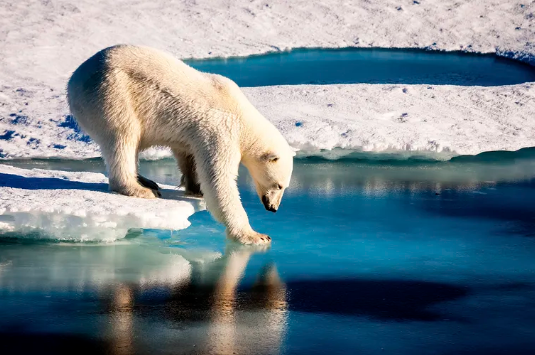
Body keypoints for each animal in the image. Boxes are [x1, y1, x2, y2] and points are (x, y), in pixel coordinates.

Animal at [68, 44, 296, 245]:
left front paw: (195, 187)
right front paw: (255, 235)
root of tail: (74, 79)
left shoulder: (194, 133)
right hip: (111, 94)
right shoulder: (221, 130)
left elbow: (188, 155)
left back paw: (146, 181)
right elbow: (219, 180)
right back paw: (139, 189)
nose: (273, 208)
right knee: (123, 137)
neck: (242, 116)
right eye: (279, 185)